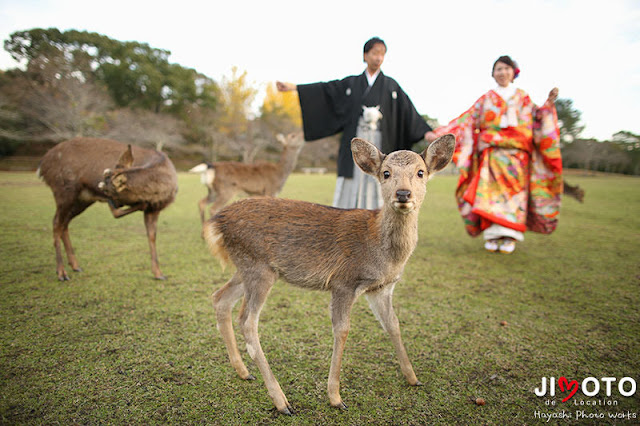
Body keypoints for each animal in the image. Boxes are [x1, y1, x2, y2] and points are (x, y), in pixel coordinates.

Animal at [37, 138, 179, 282]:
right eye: (104, 189)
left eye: (109, 190)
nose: (109, 201)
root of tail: (42, 165)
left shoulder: (154, 209)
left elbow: (152, 237)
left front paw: (158, 273)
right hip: (64, 190)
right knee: (57, 223)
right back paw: (61, 272)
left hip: (82, 199)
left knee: (64, 223)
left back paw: (75, 266)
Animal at [205, 134, 456, 416]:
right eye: (386, 173)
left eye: (421, 172)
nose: (403, 194)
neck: (383, 254)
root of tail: (218, 221)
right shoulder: (344, 281)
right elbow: (342, 330)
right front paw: (335, 397)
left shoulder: (381, 288)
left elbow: (393, 324)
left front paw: (413, 378)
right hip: (258, 268)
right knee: (247, 320)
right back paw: (282, 402)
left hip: (246, 267)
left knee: (220, 298)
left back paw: (243, 372)